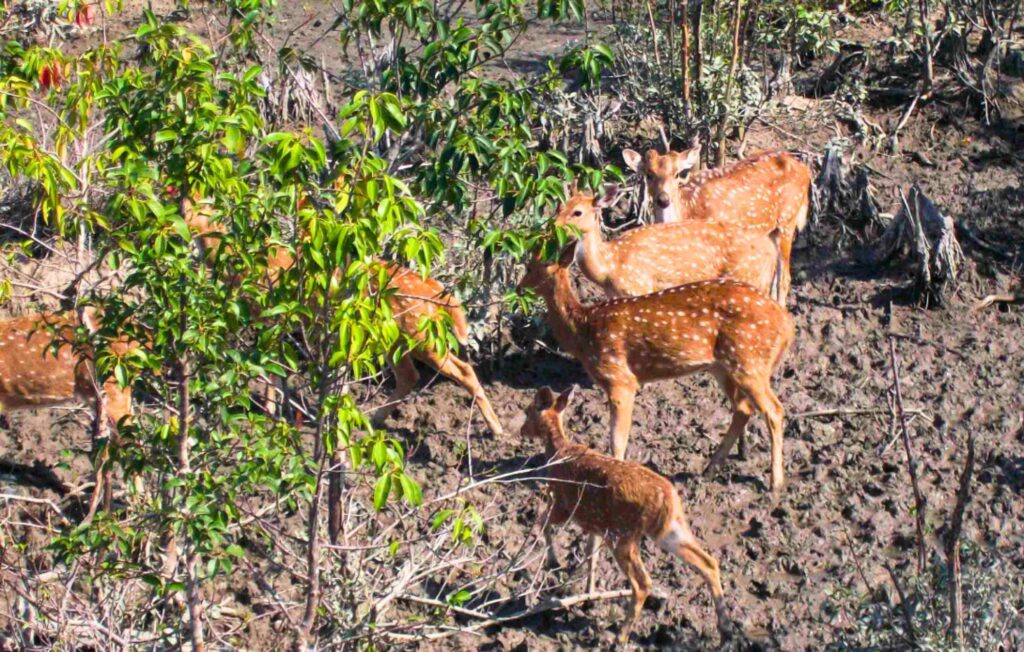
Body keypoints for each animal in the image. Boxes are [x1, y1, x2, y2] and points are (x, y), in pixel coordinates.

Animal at [181, 197, 503, 436]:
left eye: (192, 210)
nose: (180, 227)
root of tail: (439, 293)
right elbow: (278, 370)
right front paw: (281, 411)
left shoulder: (269, 315)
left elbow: (270, 366)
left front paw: (270, 412)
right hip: (394, 337)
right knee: (409, 376)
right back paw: (372, 420)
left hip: (419, 334)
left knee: (462, 370)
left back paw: (496, 429)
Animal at [518, 245, 794, 493]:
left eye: (530, 266)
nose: (518, 288)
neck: (582, 332)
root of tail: (786, 324)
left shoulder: (620, 379)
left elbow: (617, 439)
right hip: (723, 366)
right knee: (743, 407)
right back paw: (712, 467)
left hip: (748, 359)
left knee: (774, 410)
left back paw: (775, 483)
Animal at [521, 385, 733, 644]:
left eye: (528, 410)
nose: (521, 431)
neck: (558, 452)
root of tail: (669, 499)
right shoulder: (594, 523)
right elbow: (591, 554)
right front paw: (588, 593)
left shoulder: (565, 505)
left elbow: (542, 521)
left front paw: (554, 561)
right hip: (668, 530)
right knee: (708, 562)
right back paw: (725, 631)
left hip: (624, 534)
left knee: (643, 583)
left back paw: (620, 637)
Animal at [556, 183, 783, 301]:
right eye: (560, 206)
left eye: (577, 212)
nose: (554, 225)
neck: (609, 269)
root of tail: (771, 249)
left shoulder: (639, 287)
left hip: (747, 277)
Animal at [622, 142, 811, 302]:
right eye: (649, 174)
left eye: (677, 174)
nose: (663, 199)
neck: (687, 212)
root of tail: (805, 169)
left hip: (788, 219)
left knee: (785, 279)